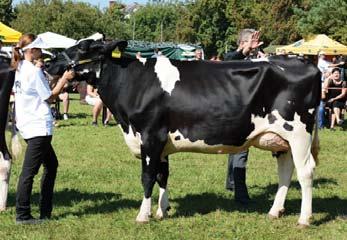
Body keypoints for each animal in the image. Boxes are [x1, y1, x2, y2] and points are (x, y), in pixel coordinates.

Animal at [47, 39, 322, 227]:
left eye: (84, 47)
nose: (50, 62)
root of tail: (303, 62)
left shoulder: (150, 135)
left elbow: (147, 176)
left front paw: (143, 215)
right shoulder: (161, 142)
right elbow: (162, 175)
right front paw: (162, 210)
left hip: (299, 133)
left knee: (305, 172)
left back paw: (304, 219)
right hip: (281, 138)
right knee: (286, 170)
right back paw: (274, 211)